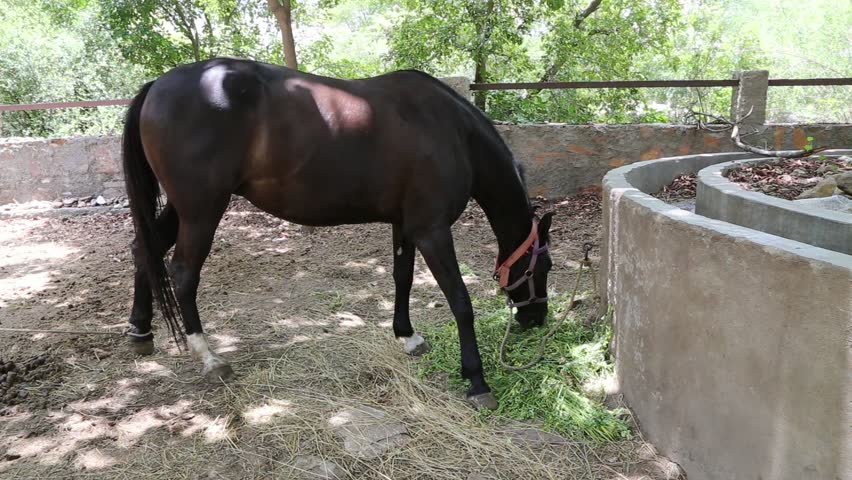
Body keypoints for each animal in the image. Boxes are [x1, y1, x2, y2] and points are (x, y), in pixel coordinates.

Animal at [121, 57, 554, 409]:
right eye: (544, 268)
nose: (536, 319)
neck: (450, 130)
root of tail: (156, 86)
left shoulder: (405, 225)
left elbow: (402, 277)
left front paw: (407, 336)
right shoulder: (432, 231)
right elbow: (460, 301)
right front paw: (477, 380)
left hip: (184, 209)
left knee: (144, 249)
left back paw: (140, 331)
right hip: (202, 210)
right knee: (182, 273)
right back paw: (210, 358)